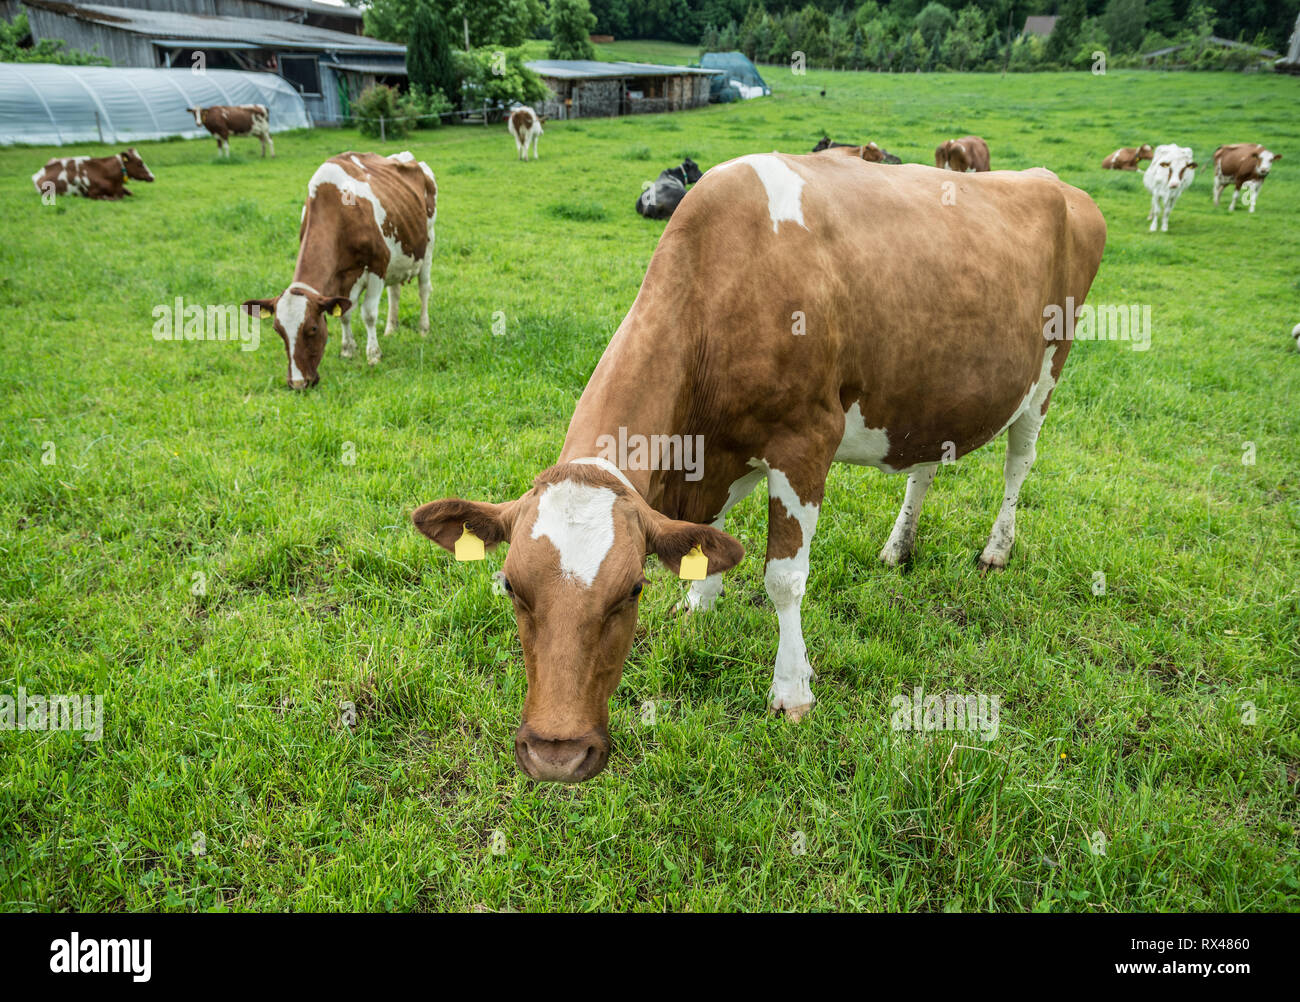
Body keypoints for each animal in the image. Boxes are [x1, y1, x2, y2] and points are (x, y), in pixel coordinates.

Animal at [241, 152, 436, 388]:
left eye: (313, 329)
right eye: (278, 331)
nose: (298, 383)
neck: (337, 212)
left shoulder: (377, 267)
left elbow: (368, 313)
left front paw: (373, 354)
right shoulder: (345, 277)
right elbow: (345, 313)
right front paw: (348, 349)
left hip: (427, 246)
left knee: (424, 289)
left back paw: (423, 328)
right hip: (396, 260)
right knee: (394, 293)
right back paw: (391, 329)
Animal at [411, 153, 1106, 783]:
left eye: (631, 590)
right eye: (510, 586)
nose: (556, 754)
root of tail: (1054, 182)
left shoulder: (805, 442)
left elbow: (784, 578)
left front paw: (792, 690)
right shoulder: (717, 455)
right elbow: (714, 536)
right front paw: (699, 602)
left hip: (1048, 372)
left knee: (1019, 464)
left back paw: (997, 549)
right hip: (932, 395)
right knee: (925, 467)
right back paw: (898, 547)